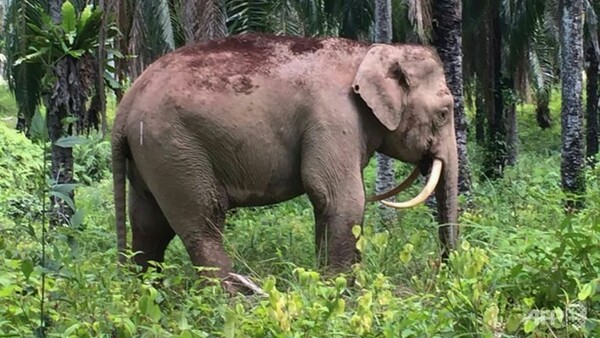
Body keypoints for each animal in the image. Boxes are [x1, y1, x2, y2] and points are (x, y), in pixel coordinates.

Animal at [111, 32, 460, 290]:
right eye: (444, 112)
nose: (443, 276)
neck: (371, 50)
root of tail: (126, 104)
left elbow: (328, 203)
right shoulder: (333, 117)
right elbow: (339, 197)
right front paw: (340, 292)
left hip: (151, 154)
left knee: (149, 224)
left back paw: (148, 296)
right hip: (175, 146)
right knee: (203, 220)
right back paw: (233, 298)